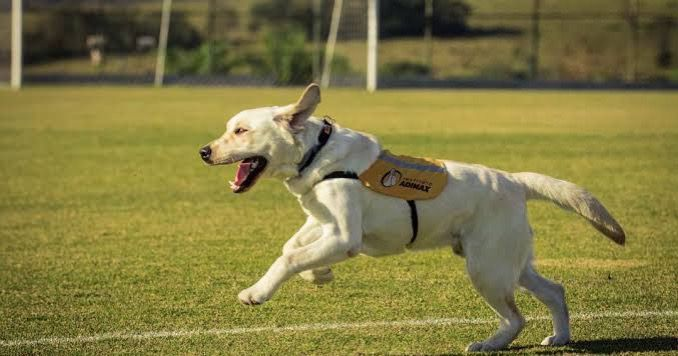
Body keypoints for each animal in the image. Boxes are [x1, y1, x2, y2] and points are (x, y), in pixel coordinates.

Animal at [201, 84, 628, 354]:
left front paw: (257, 292)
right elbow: (292, 246)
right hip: (510, 263)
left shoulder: (343, 235)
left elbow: (288, 256)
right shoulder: (323, 222)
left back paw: (488, 344)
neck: (315, 154)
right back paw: (559, 338)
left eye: (240, 131)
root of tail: (514, 180)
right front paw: (318, 274)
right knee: (555, 290)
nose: (204, 152)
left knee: (516, 317)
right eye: (228, 129)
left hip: (486, 269)